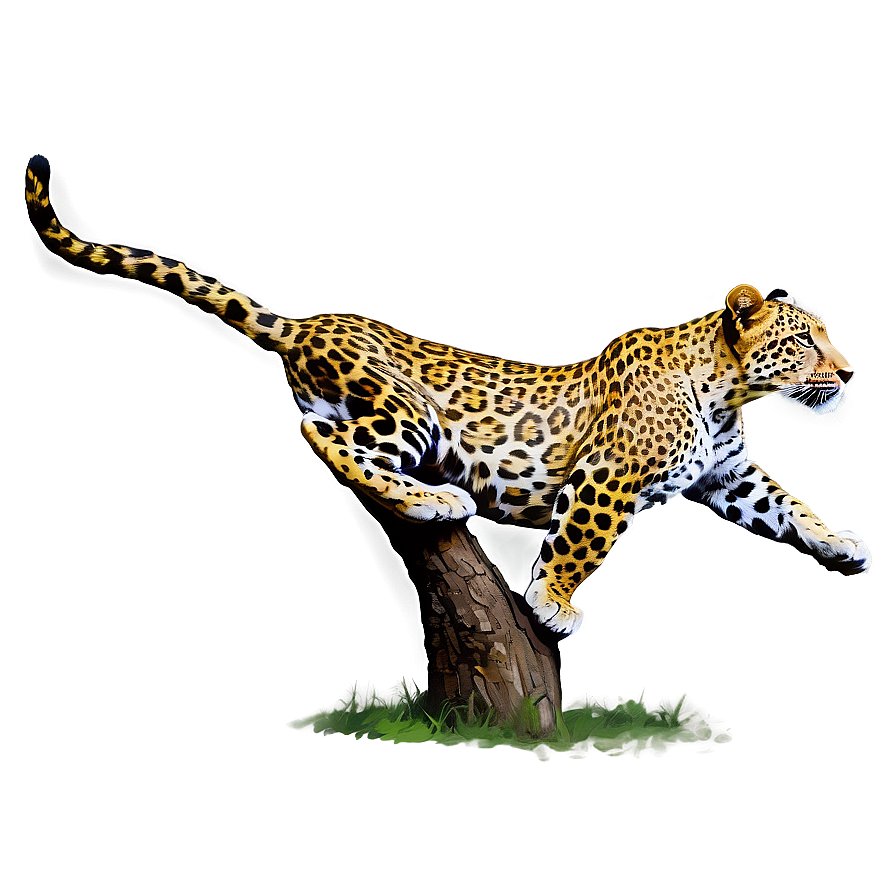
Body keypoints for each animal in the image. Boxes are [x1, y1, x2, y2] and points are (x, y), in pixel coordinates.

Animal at [24, 154, 871, 635]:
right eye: (805, 341)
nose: (852, 375)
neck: (728, 392)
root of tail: (305, 323)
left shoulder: (729, 475)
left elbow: (789, 503)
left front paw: (843, 540)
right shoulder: (610, 473)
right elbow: (582, 539)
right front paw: (555, 602)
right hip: (410, 410)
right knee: (324, 439)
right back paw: (434, 500)